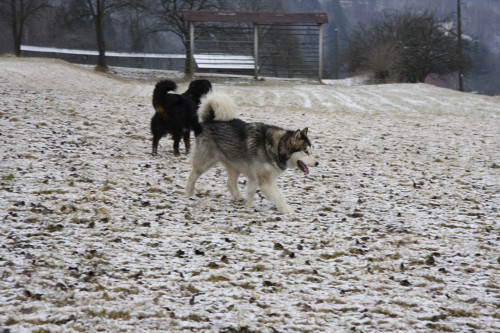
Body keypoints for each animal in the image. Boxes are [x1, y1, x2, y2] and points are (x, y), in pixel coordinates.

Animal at [186, 92, 318, 213]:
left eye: (311, 151)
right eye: (306, 152)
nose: (317, 163)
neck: (277, 146)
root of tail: (209, 120)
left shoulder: (255, 175)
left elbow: (250, 191)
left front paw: (249, 206)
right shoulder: (265, 179)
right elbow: (278, 196)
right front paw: (288, 211)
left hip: (235, 164)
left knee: (230, 183)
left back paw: (239, 197)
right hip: (206, 161)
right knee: (193, 175)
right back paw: (189, 193)